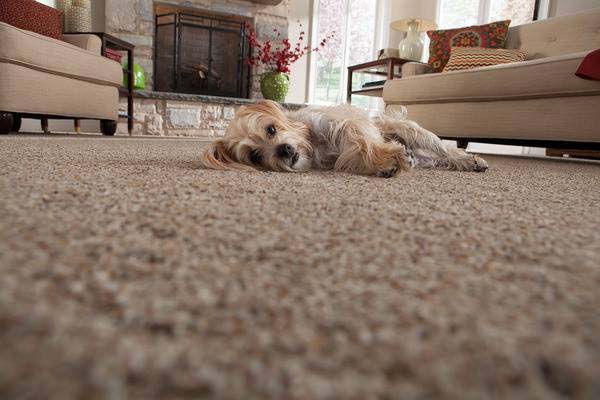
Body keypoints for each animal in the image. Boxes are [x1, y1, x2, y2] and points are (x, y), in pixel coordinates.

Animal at [200, 100, 488, 177]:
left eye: (270, 130)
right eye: (255, 155)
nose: (283, 150)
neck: (314, 145)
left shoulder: (342, 124)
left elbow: (363, 142)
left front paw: (386, 157)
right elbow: (353, 156)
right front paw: (384, 164)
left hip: (416, 133)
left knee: (446, 150)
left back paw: (471, 159)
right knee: (439, 161)